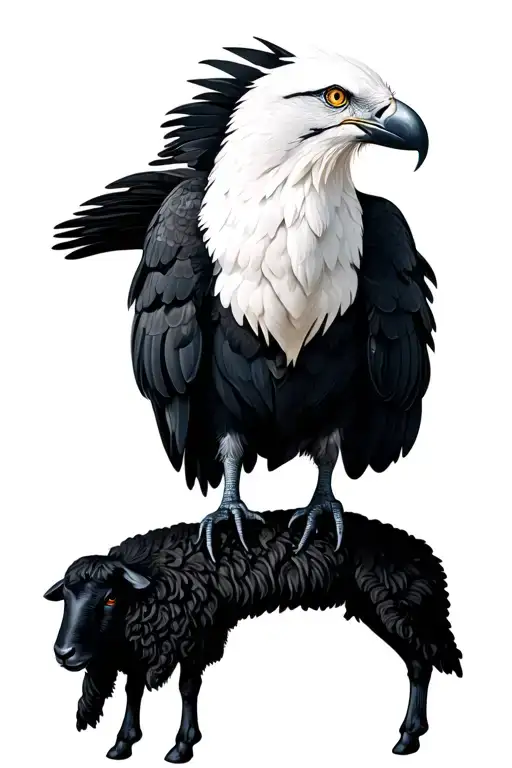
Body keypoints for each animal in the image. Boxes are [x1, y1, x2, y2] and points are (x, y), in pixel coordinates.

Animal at [44, 509, 462, 762]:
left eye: (111, 597)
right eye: (66, 596)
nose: (64, 653)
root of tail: (424, 555)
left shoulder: (196, 634)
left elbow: (186, 689)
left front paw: (182, 745)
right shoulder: (141, 642)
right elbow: (134, 690)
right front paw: (123, 743)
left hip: (399, 609)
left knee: (421, 663)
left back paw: (408, 737)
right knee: (418, 663)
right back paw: (410, 735)